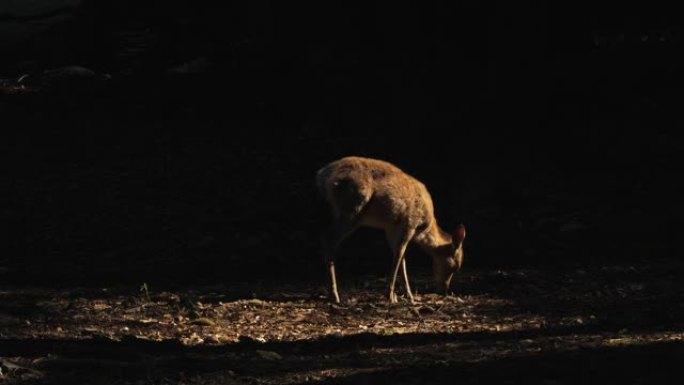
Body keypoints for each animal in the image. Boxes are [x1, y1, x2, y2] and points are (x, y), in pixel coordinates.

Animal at [316, 156, 464, 304]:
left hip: (338, 210)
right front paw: (391, 296)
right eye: (455, 266)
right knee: (328, 238)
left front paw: (408, 296)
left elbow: (402, 259)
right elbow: (398, 256)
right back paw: (335, 295)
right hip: (354, 208)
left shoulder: (391, 229)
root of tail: (323, 177)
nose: (444, 290)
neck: (423, 228)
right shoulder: (409, 224)